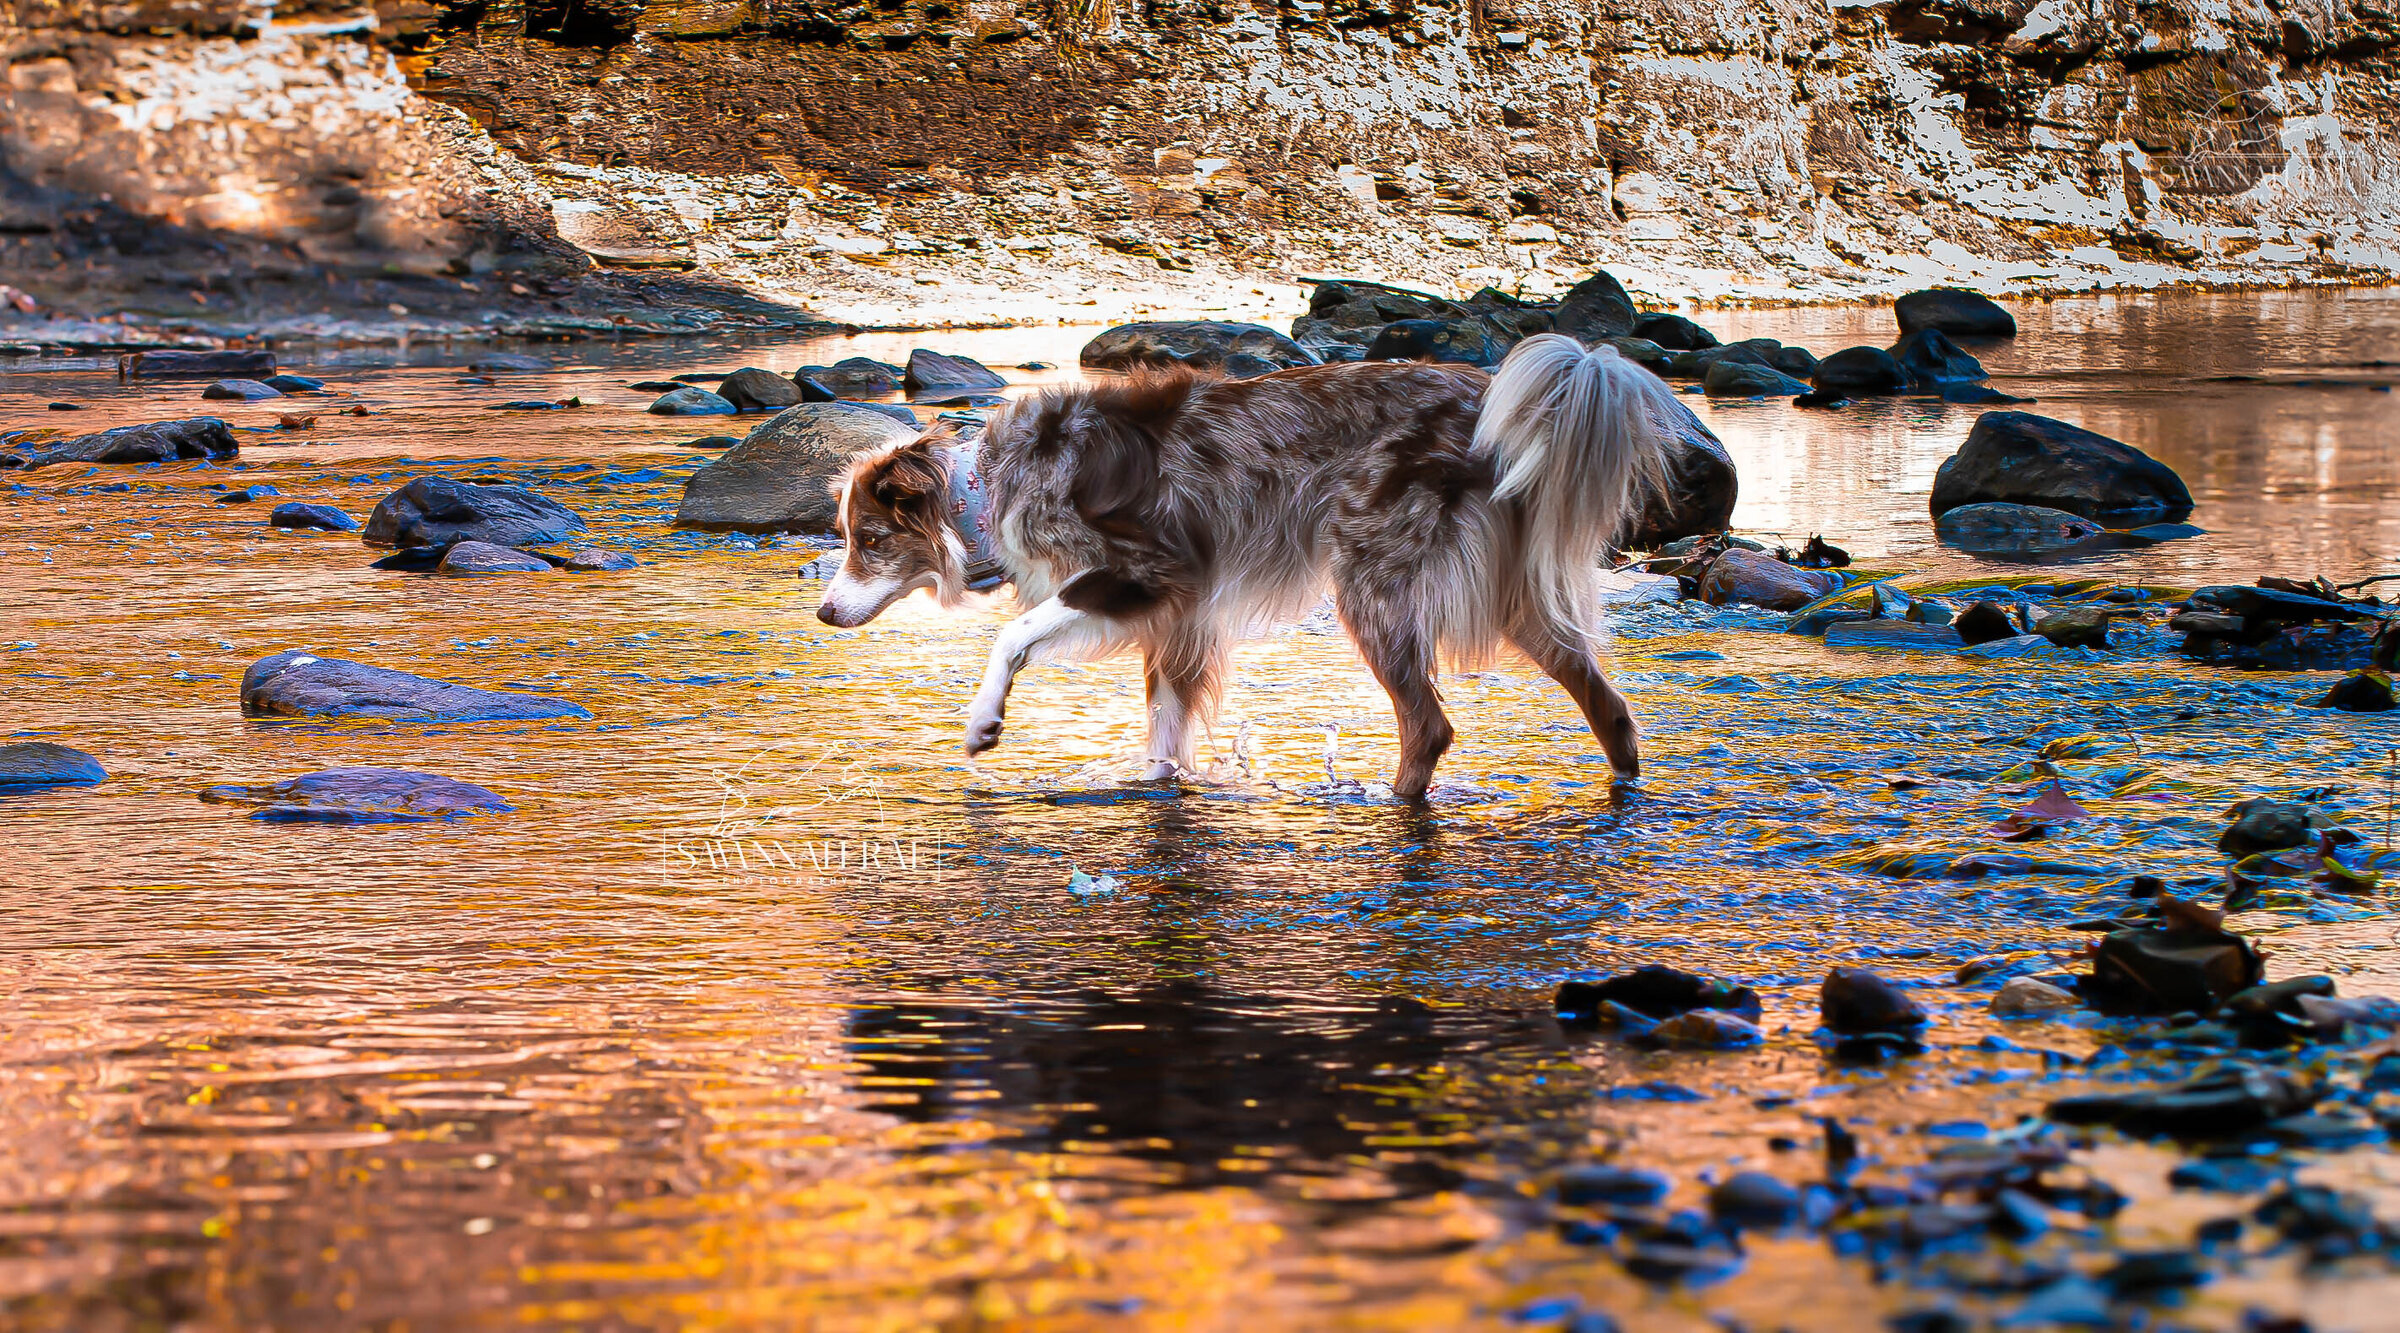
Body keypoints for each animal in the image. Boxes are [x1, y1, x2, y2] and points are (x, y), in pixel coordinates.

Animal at [816, 333, 1680, 797]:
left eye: (870, 539)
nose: (823, 612)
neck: (985, 489)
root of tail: (1487, 400)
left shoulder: (1148, 572)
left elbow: (1014, 634)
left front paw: (983, 723)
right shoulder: (1177, 624)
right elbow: (1165, 732)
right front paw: (1156, 781)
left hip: (1369, 583)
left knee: (1428, 723)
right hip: (1515, 601)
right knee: (1607, 703)